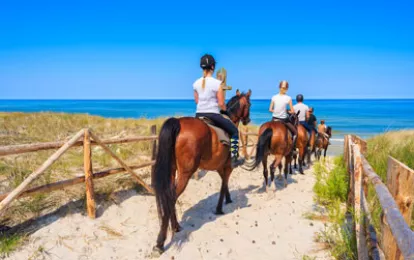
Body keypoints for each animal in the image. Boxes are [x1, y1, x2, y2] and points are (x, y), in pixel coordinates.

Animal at [151, 89, 251, 254]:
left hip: (172, 171)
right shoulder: (228, 166)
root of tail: (178, 123)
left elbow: (224, 184)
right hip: (185, 173)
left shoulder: (219, 167)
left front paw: (228, 199)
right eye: (249, 104)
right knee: (171, 198)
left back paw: (176, 227)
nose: (248, 120)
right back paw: (160, 242)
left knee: (169, 197)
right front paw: (219, 208)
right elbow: (223, 184)